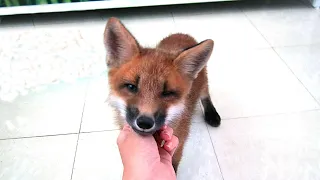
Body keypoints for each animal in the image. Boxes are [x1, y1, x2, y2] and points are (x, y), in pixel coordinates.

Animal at [104, 17, 221, 172]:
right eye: (131, 87)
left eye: (167, 93)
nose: (145, 122)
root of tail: (182, 35)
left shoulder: (179, 144)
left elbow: (172, 166)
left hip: (202, 82)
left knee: (206, 94)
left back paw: (212, 114)